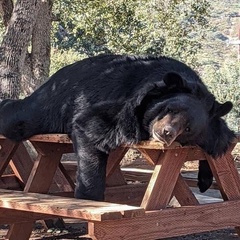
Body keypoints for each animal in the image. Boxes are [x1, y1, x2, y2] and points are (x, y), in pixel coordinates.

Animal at [0, 54, 234, 201]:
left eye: (188, 129)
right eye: (169, 108)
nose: (166, 132)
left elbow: (220, 139)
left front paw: (205, 179)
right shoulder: (125, 105)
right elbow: (92, 127)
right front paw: (88, 197)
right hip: (52, 103)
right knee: (18, 117)